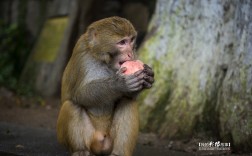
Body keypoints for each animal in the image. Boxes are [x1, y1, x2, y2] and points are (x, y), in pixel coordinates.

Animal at [56, 16, 154, 156]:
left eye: (131, 40)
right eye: (122, 42)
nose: (131, 53)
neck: (103, 60)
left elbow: (129, 96)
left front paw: (149, 76)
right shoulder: (81, 54)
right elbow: (79, 94)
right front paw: (119, 84)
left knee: (128, 102)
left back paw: (119, 153)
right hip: (90, 139)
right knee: (71, 105)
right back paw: (80, 150)